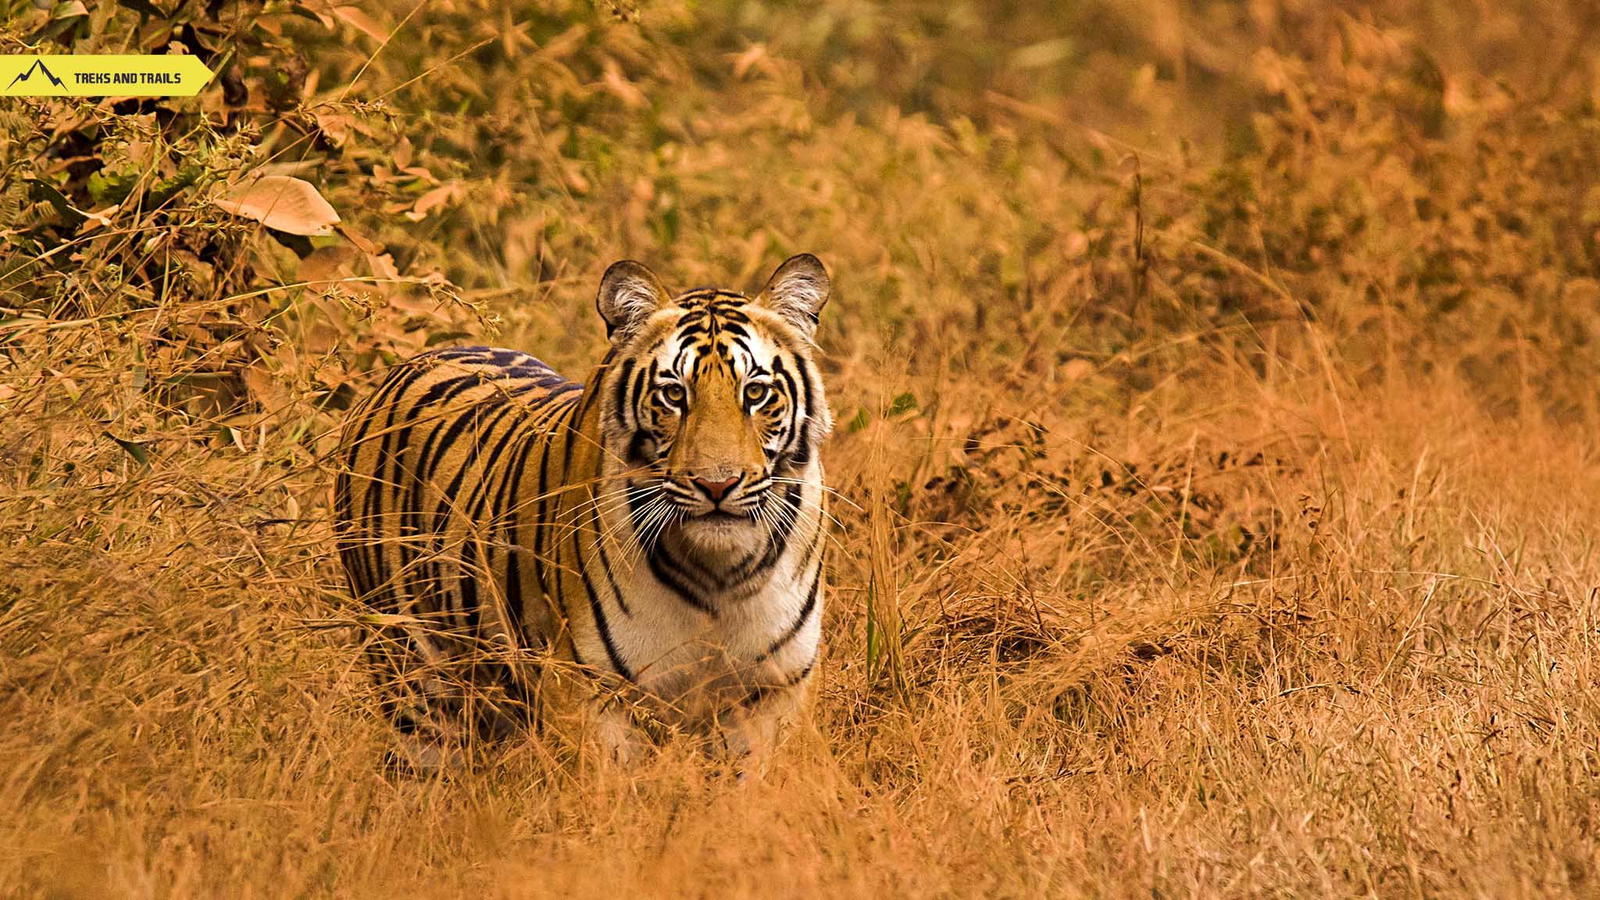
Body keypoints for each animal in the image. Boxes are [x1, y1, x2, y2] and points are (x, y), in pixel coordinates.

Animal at [333, 254, 832, 768]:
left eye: (755, 394)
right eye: (674, 395)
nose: (717, 483)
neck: (720, 577)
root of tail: (404, 366)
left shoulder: (772, 692)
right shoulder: (590, 690)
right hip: (412, 677)